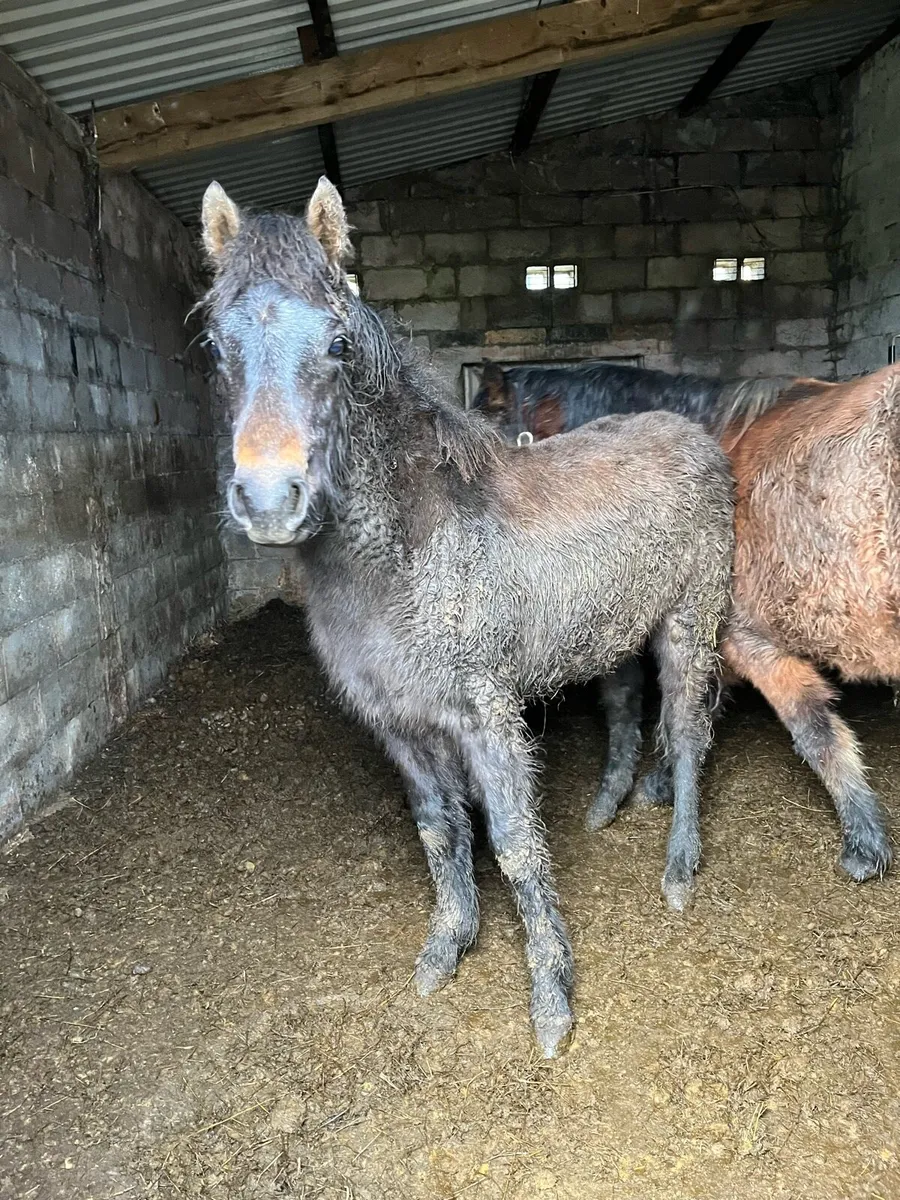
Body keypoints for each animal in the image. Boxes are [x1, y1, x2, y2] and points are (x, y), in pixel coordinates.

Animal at [200, 177, 735, 1057]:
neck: (403, 549)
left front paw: (551, 1004)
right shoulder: (398, 723)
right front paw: (447, 947)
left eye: (338, 344)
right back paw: (606, 808)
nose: (271, 501)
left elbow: (514, 845)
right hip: (613, 633)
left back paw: (680, 871)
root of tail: (699, 436)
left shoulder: (486, 716)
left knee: (689, 735)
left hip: (691, 625)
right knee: (629, 710)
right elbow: (440, 832)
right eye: (215, 346)